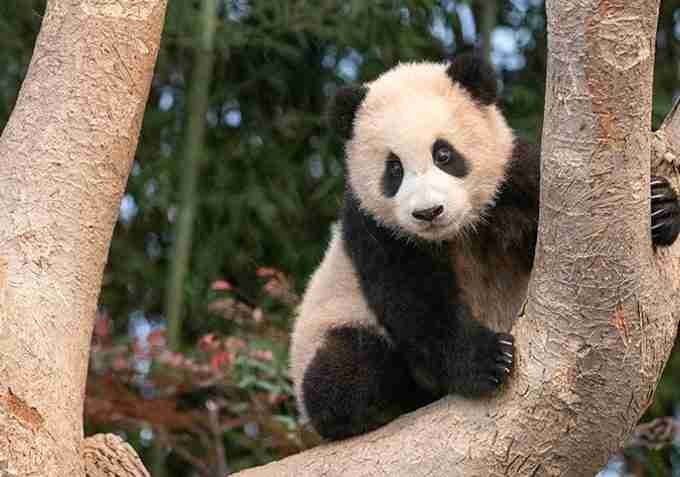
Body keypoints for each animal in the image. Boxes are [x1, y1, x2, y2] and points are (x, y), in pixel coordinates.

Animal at [288, 54, 680, 440]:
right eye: (394, 169)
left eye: (444, 154)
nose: (428, 212)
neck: (457, 231)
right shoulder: (376, 229)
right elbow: (414, 301)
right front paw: (486, 360)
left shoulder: (512, 180)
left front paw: (660, 208)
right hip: (328, 326)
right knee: (343, 371)